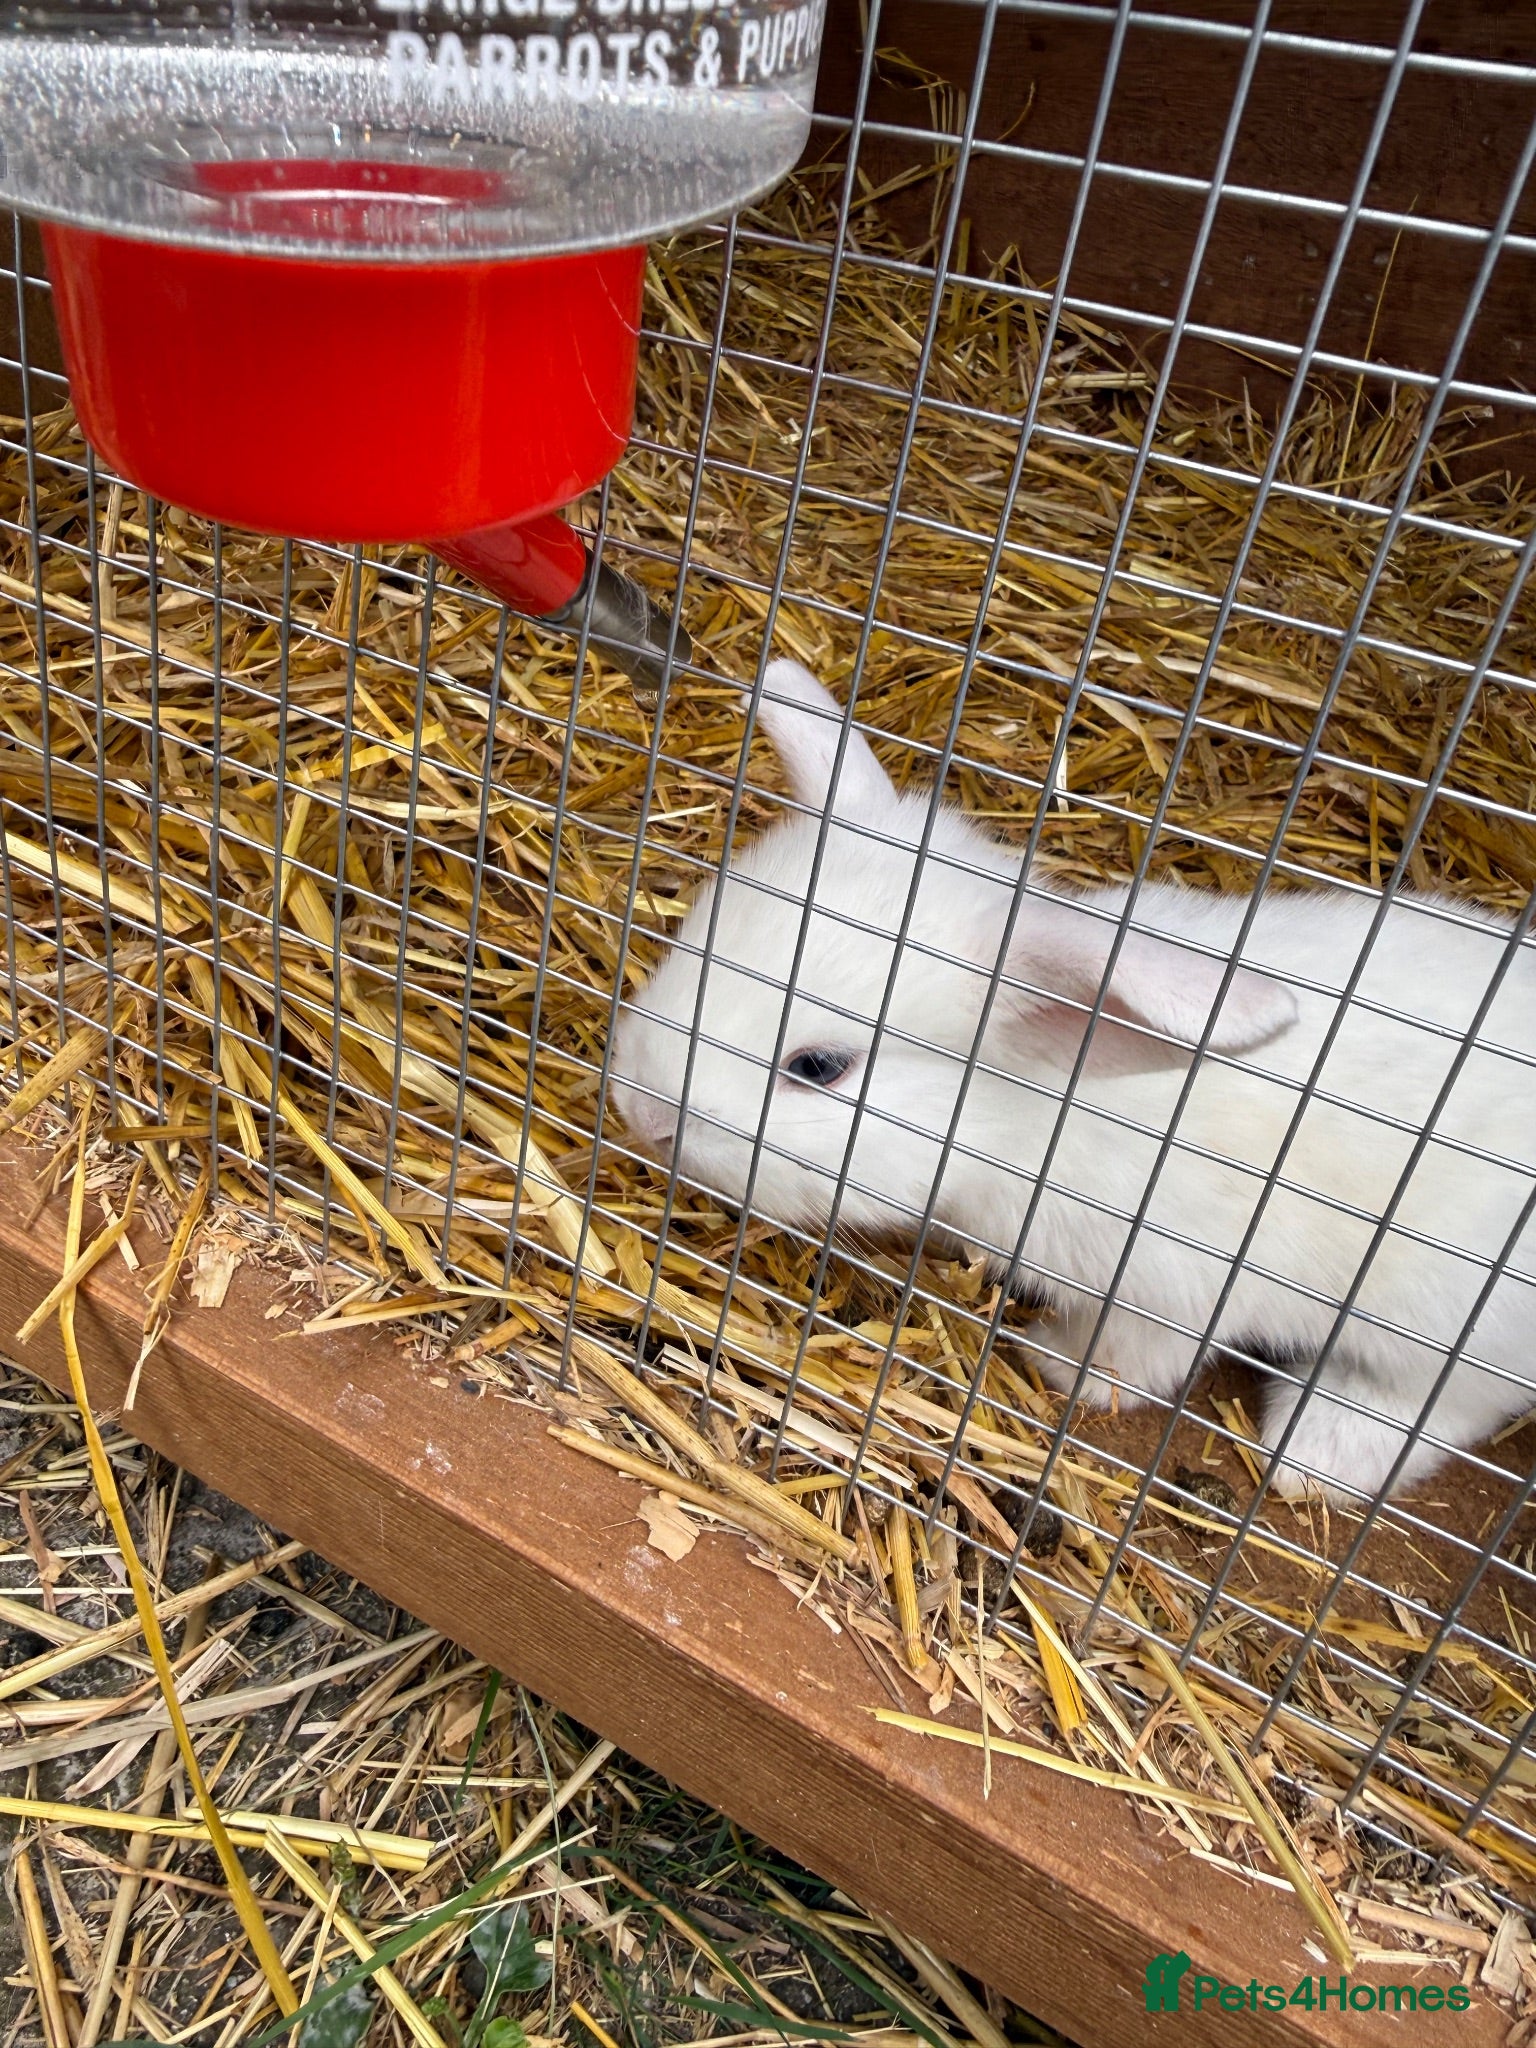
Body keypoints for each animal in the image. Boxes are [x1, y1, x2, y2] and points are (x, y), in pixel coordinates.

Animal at [609, 658, 1536, 1503]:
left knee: (1441, 1406)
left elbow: (1134, 1361)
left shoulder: (1177, 1285)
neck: (1036, 1123)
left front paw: (1055, 1365)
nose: (639, 1112)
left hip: (1437, 1317)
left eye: (818, 1067)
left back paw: (1311, 1454)